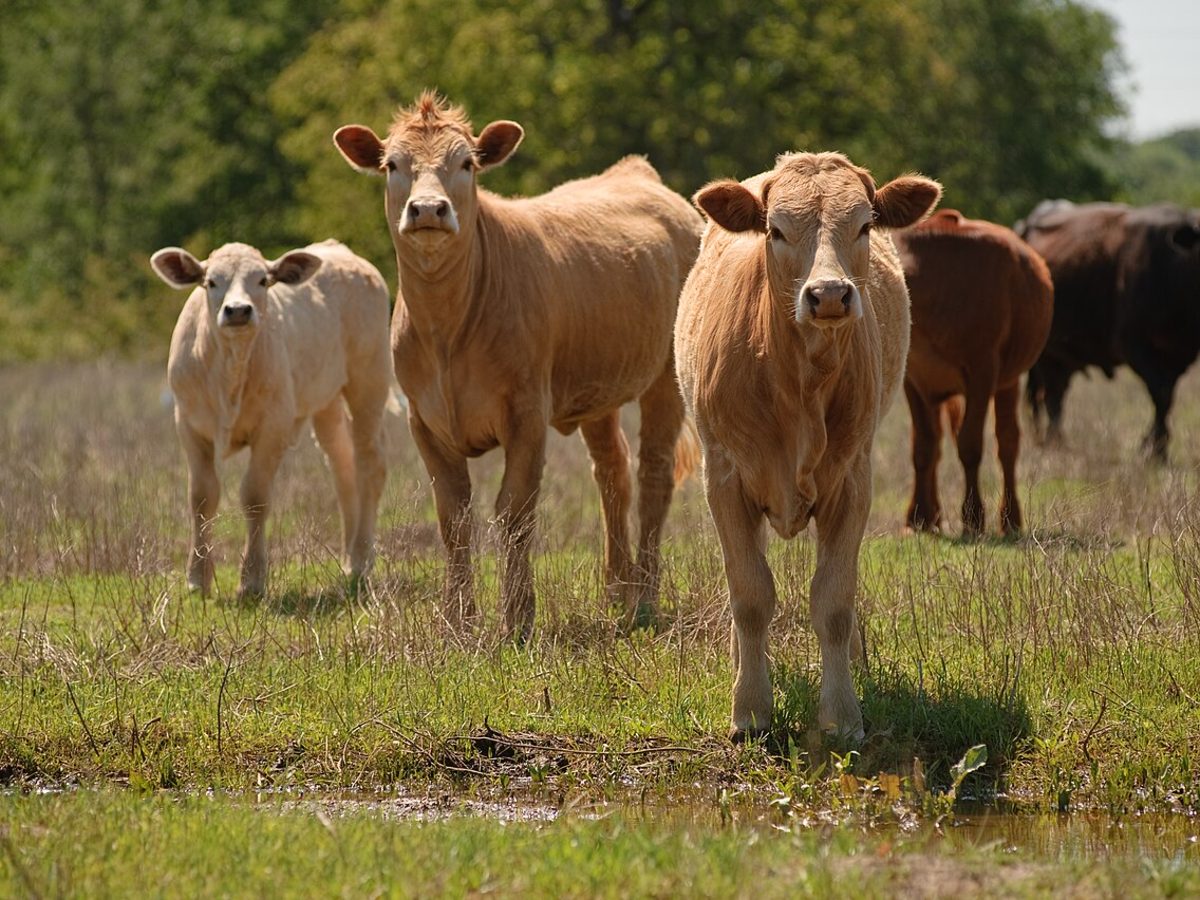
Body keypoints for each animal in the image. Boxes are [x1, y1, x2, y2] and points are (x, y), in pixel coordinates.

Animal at [151, 240, 392, 599]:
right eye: (211, 282)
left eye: (262, 281)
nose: (238, 310)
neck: (230, 369)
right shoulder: (189, 424)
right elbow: (202, 496)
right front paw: (197, 578)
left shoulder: (273, 426)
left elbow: (254, 497)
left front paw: (252, 580)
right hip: (327, 401)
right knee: (343, 468)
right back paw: (350, 558)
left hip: (369, 382)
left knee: (369, 465)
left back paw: (362, 558)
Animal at [333, 92, 703, 641]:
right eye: (392, 165)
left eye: (467, 164)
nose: (428, 209)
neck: (447, 329)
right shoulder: (425, 419)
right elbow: (453, 516)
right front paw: (457, 622)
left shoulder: (526, 411)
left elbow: (515, 512)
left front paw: (517, 619)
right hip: (596, 387)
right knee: (612, 471)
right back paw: (616, 592)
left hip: (665, 378)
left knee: (654, 473)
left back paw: (644, 599)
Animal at [675, 151, 940, 741]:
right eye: (775, 230)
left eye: (865, 224)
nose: (830, 295)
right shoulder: (723, 476)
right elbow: (750, 594)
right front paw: (750, 708)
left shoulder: (853, 479)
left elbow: (834, 600)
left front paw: (842, 713)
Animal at [893, 210, 1053, 536]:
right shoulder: (913, 379)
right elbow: (923, 446)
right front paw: (918, 517)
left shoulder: (983, 372)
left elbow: (970, 444)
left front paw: (973, 516)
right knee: (938, 441)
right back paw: (933, 516)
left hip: (1008, 381)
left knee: (1007, 442)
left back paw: (1010, 519)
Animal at [1016, 200, 1200, 460]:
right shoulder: (1135, 347)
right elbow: (1161, 394)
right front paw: (1154, 450)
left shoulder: (1180, 355)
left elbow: (1167, 399)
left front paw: (1156, 447)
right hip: (1046, 354)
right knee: (1050, 396)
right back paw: (1055, 442)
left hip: (1061, 356)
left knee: (1054, 395)